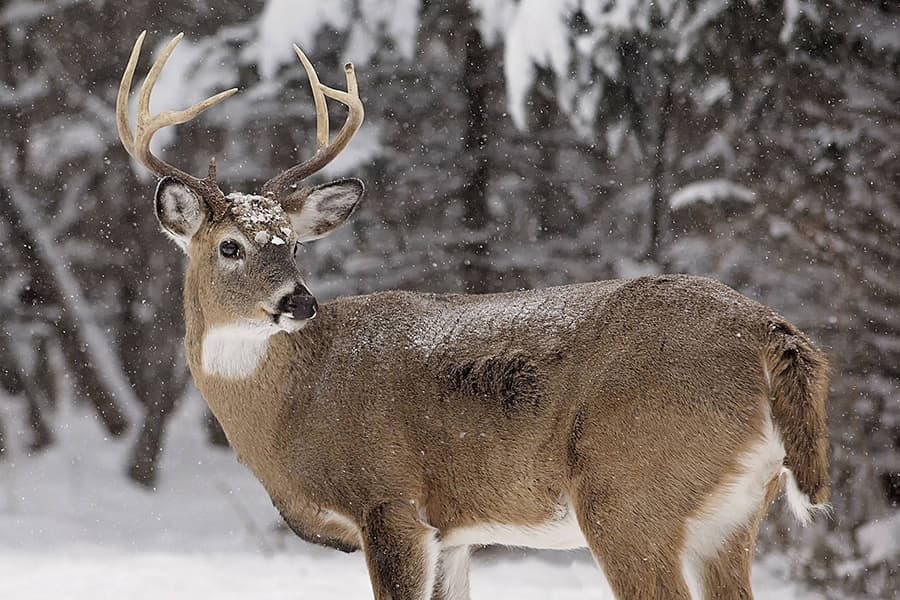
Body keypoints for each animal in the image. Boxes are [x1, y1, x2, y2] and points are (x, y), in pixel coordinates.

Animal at [119, 31, 828, 600]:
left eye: (291, 243)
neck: (292, 403)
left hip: (631, 493)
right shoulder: (453, 529)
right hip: (734, 513)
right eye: (229, 246)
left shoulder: (389, 499)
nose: (298, 301)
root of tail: (772, 334)